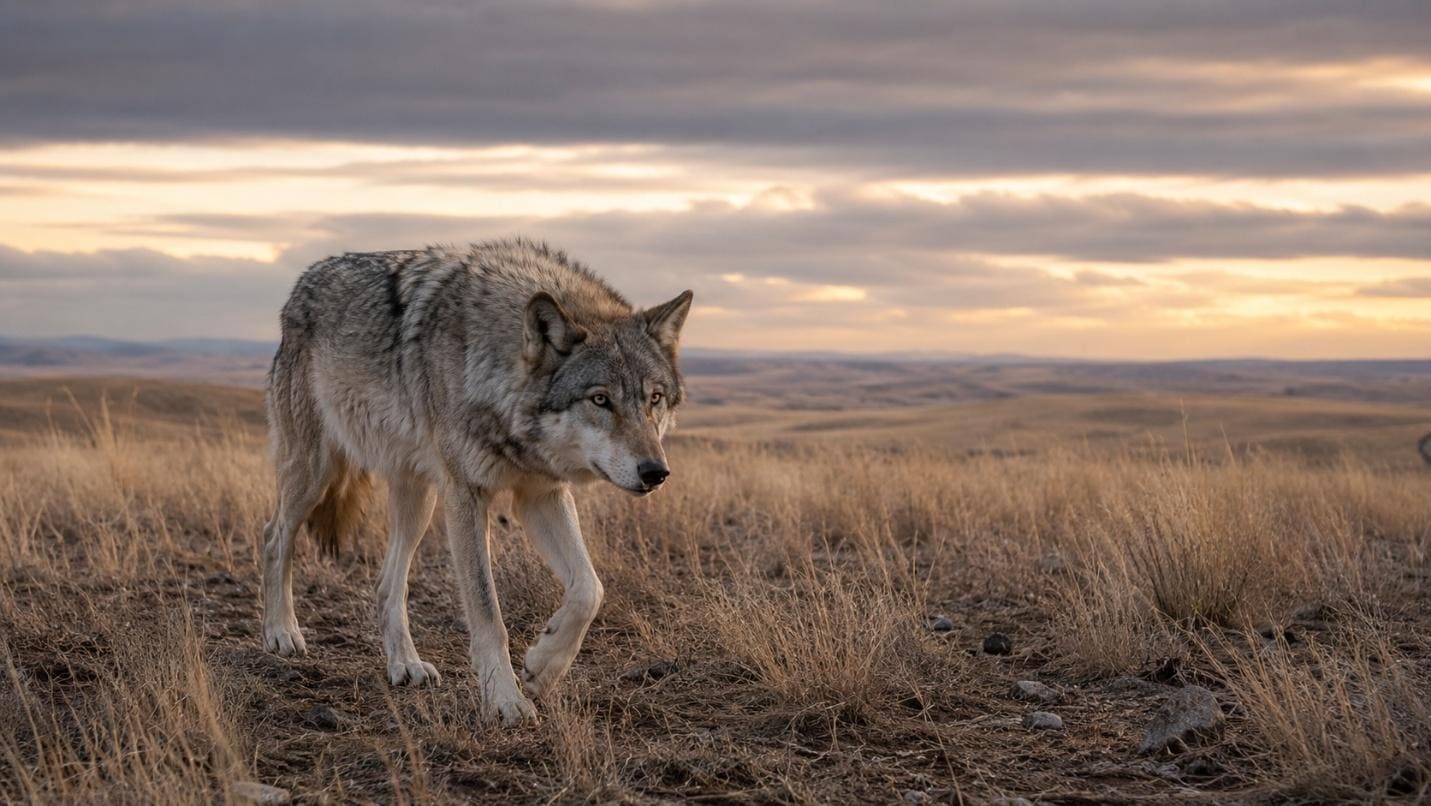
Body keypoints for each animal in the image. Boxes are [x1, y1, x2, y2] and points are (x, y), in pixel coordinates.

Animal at [260, 238, 692, 724]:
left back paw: (405, 665)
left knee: (388, 583)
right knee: (274, 536)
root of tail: (305, 280)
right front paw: (505, 699)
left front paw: (543, 666)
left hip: (419, 500)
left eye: (654, 398)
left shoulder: (540, 493)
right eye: (600, 400)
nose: (655, 472)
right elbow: (488, 613)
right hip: (315, 472)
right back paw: (281, 632)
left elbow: (589, 589)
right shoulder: (467, 494)